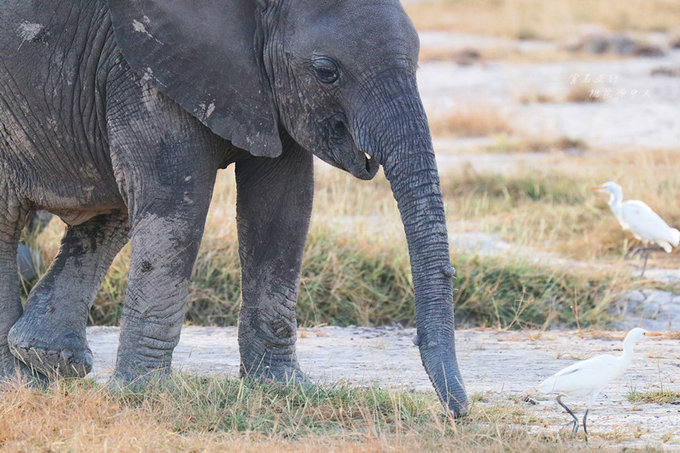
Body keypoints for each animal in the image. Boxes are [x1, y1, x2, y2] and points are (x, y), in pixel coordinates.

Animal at [0, 0, 468, 414]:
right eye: (326, 72)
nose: (457, 411)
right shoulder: (142, 66)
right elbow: (174, 195)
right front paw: (143, 394)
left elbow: (283, 206)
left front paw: (282, 388)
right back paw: (20, 381)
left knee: (111, 207)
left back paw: (45, 360)